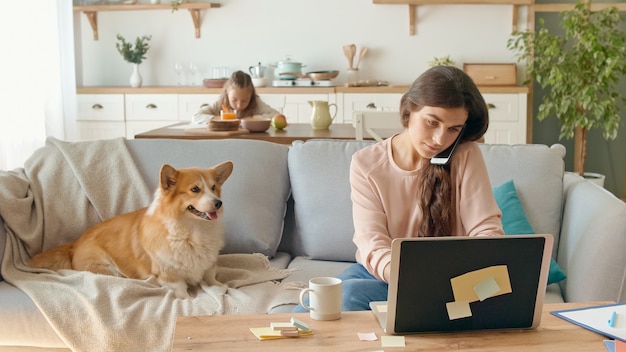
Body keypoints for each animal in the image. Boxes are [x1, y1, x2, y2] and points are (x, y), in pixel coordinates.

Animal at [29, 161, 234, 298]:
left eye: (214, 187)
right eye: (195, 189)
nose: (219, 203)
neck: (194, 230)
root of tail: (74, 245)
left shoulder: (209, 264)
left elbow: (211, 278)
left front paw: (221, 287)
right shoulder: (169, 274)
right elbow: (181, 290)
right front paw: (187, 300)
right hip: (107, 268)